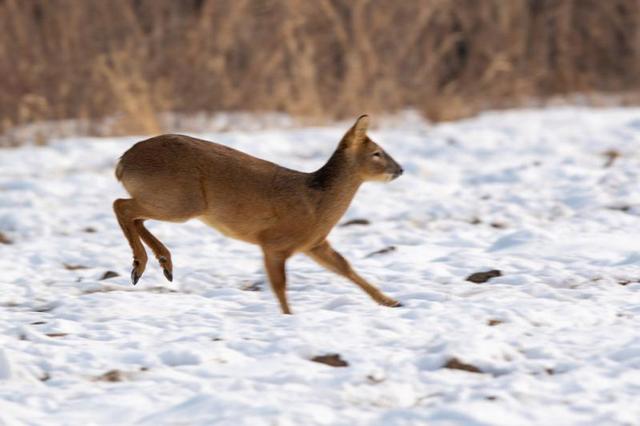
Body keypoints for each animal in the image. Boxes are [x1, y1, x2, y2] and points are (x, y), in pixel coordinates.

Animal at [112, 115, 402, 314]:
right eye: (377, 153)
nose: (400, 169)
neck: (317, 202)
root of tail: (122, 162)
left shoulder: (314, 243)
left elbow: (344, 266)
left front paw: (391, 301)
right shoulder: (274, 243)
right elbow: (280, 285)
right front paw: (288, 316)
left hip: (170, 199)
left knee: (134, 214)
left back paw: (163, 263)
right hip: (181, 201)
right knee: (121, 205)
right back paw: (142, 265)